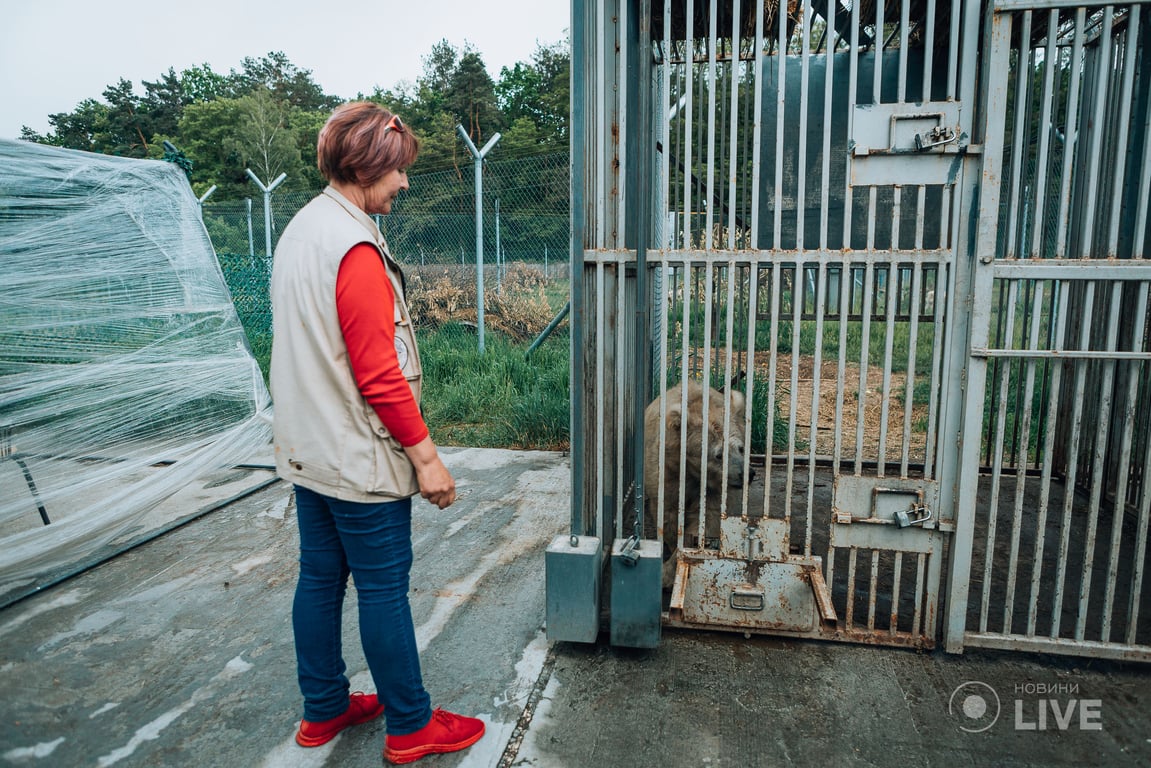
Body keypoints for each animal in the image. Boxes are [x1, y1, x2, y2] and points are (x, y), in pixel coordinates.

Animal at [644, 379, 750, 589]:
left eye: (741, 448)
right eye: (718, 454)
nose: (746, 474)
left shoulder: (713, 489)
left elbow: (707, 519)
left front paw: (670, 571)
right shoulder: (667, 472)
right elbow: (669, 514)